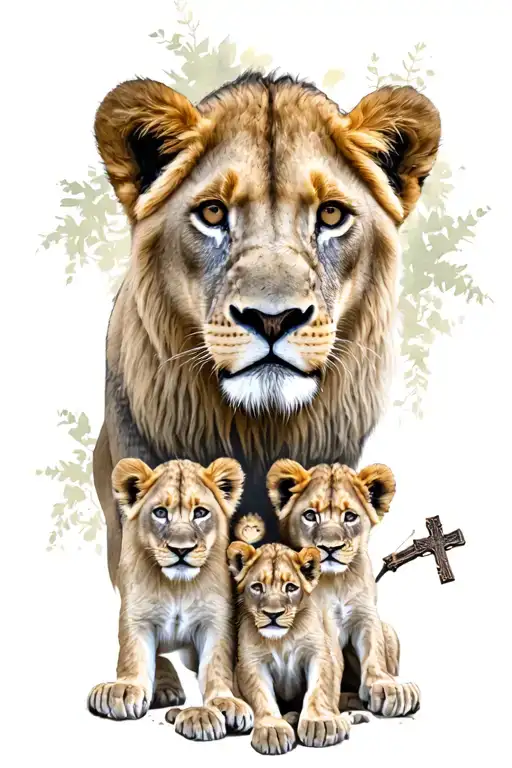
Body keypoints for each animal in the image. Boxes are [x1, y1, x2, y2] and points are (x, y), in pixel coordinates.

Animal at [87, 456, 253, 741]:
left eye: (200, 512)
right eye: (160, 512)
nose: (181, 549)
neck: (178, 587)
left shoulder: (215, 620)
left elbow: (216, 663)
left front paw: (226, 702)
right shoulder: (137, 614)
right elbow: (133, 654)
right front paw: (125, 689)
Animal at [227, 541, 352, 754]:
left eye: (291, 587)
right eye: (257, 587)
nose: (273, 614)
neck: (281, 639)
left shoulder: (317, 653)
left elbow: (318, 689)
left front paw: (320, 724)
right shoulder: (252, 662)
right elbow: (262, 697)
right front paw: (273, 730)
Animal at [267, 459, 420, 717]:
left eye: (350, 516)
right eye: (310, 515)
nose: (330, 548)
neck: (337, 580)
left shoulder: (365, 613)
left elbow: (374, 649)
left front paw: (387, 687)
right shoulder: (320, 622)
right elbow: (331, 659)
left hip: (389, 630)